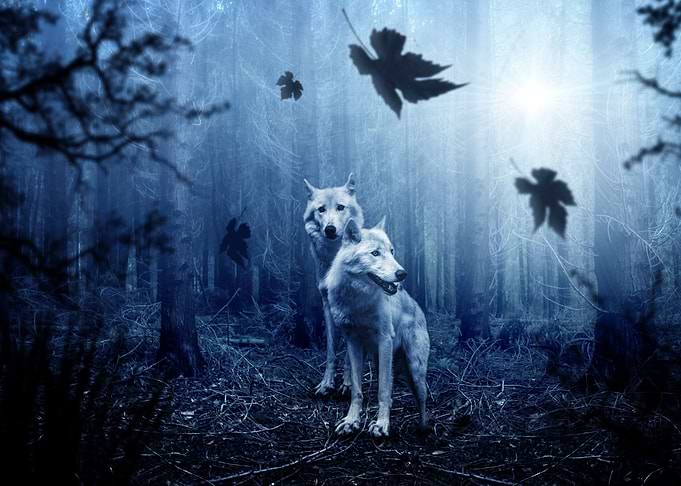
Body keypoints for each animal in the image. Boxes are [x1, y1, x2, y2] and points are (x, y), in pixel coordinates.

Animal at [303, 173, 364, 396]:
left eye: (340, 207)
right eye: (321, 209)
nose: (330, 229)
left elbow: (349, 353)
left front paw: (348, 384)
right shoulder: (327, 305)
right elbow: (331, 350)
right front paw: (326, 384)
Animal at [323, 218, 430, 437]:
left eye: (392, 251)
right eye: (375, 253)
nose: (402, 273)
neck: (357, 302)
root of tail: (419, 308)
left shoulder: (384, 340)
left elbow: (382, 391)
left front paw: (381, 425)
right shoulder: (353, 342)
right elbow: (357, 390)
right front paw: (351, 421)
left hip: (415, 368)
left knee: (422, 397)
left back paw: (423, 428)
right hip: (381, 360)